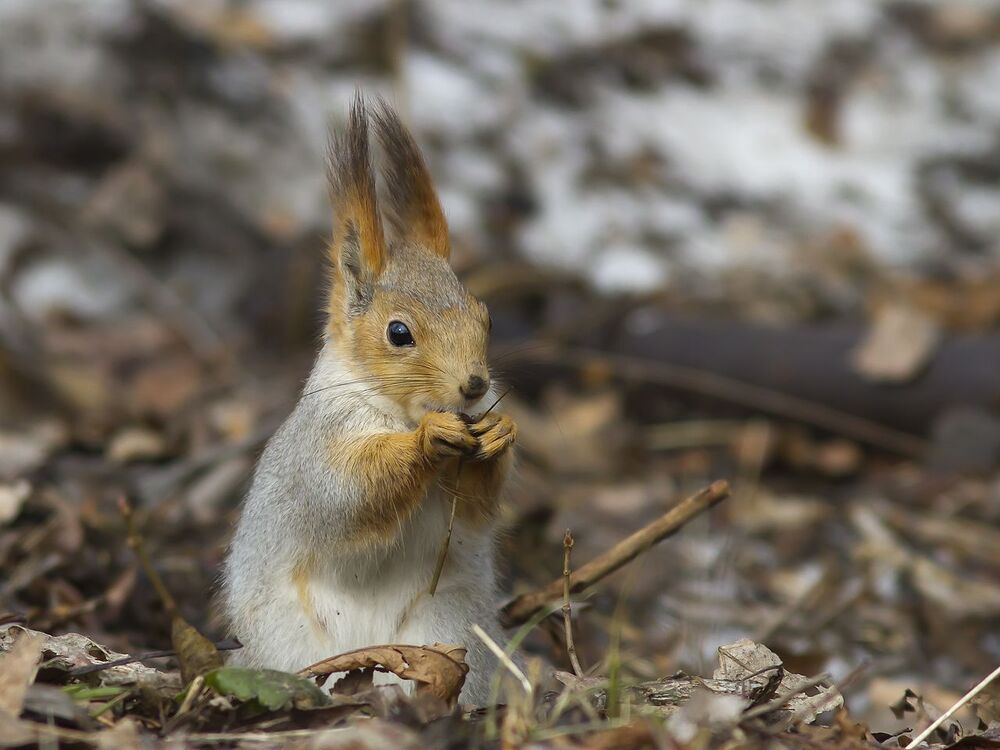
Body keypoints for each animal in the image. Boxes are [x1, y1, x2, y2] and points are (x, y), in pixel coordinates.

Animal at [221, 96, 517, 704]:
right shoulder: (319, 446)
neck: (397, 413)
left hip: (453, 628)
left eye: (486, 317)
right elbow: (348, 492)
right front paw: (430, 440)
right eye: (398, 333)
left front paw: (500, 434)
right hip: (285, 640)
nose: (475, 386)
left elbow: (477, 508)